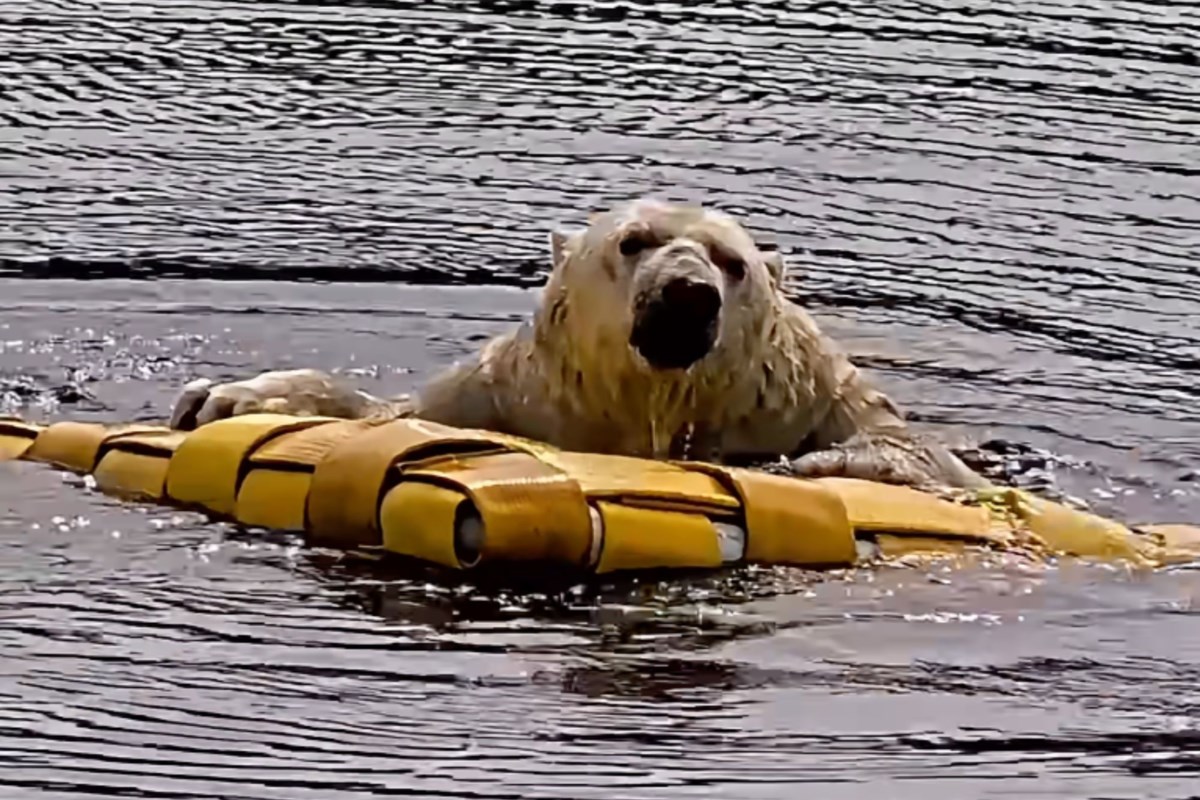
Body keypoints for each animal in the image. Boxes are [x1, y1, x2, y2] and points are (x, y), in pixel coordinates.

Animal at [168, 198, 988, 491]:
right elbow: (392, 414)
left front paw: (827, 467)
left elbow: (918, 455)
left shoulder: (809, 397)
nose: (688, 292)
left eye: (732, 261)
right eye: (633, 241)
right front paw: (226, 398)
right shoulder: (506, 398)